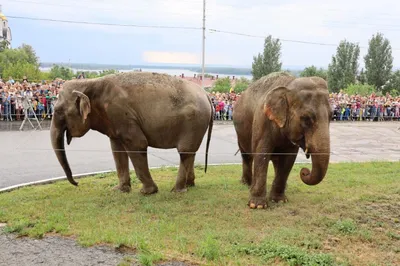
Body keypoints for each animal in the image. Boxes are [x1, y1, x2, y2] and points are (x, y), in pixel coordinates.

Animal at [51, 71, 214, 194]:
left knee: (185, 151)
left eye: (58, 111)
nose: (77, 183)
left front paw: (147, 192)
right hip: (196, 124)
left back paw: (177, 190)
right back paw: (189, 185)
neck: (90, 83)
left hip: (193, 121)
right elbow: (117, 149)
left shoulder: (121, 113)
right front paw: (119, 190)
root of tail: (207, 95)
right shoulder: (113, 119)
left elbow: (138, 144)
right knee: (190, 152)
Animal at [231, 71, 332, 209]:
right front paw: (257, 205)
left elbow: (288, 159)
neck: (288, 85)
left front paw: (279, 200)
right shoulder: (262, 120)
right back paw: (247, 184)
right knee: (246, 155)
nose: (304, 171)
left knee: (276, 160)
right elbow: (261, 153)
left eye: (332, 116)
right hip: (240, 132)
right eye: (306, 118)